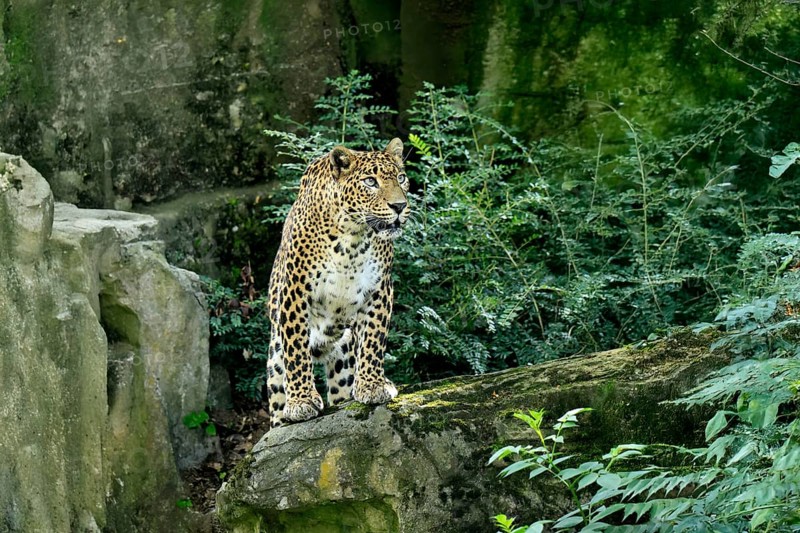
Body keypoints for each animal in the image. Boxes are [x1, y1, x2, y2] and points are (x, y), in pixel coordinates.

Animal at [265, 138, 410, 428]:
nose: (399, 206)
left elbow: (374, 338)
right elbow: (296, 349)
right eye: (370, 182)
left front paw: (373, 385)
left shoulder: (379, 288)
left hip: (344, 353)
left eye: (401, 178)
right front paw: (301, 402)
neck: (352, 237)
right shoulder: (295, 290)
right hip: (275, 361)